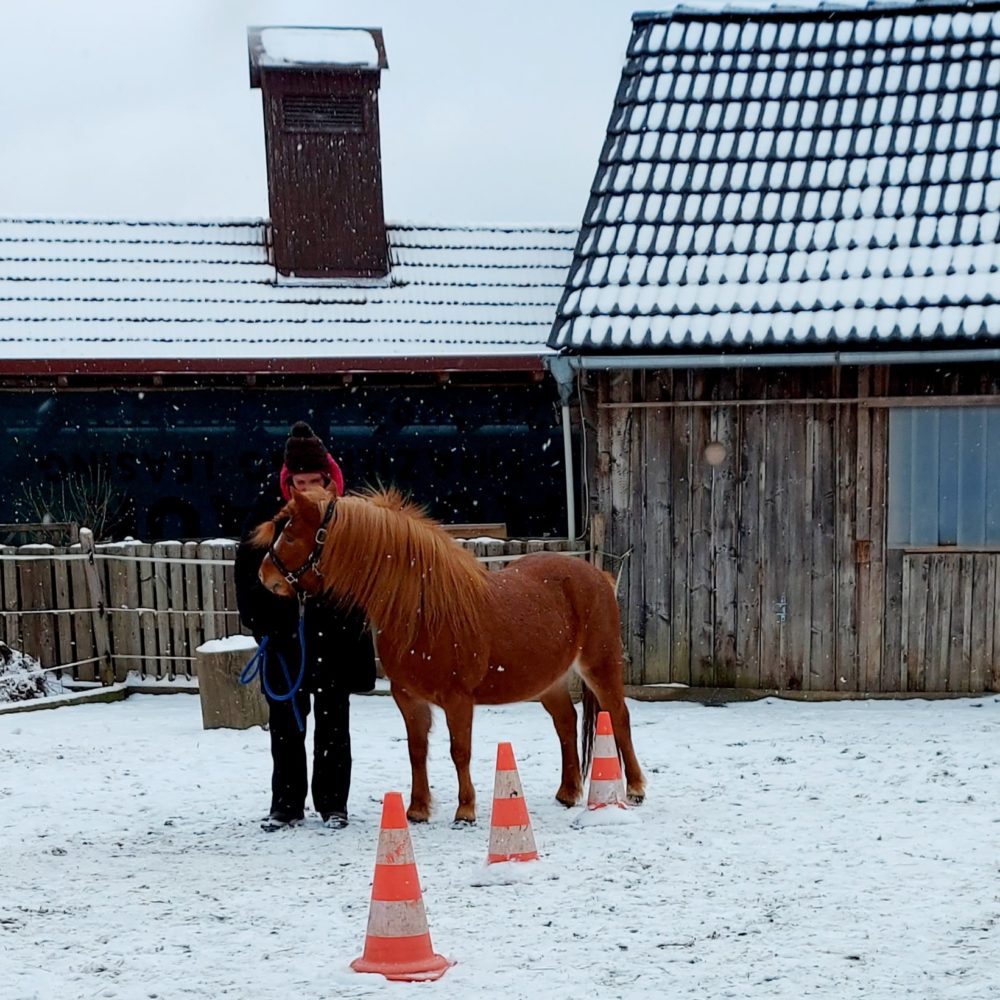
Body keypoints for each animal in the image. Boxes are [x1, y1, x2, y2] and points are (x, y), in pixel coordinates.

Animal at [252, 488, 648, 824]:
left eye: (290, 536)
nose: (264, 576)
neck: (422, 610)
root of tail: (597, 574)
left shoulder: (458, 700)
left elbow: (460, 750)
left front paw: (465, 810)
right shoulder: (408, 698)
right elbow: (417, 751)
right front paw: (417, 810)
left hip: (600, 666)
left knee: (620, 716)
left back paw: (635, 788)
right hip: (548, 681)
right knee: (566, 723)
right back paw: (567, 793)